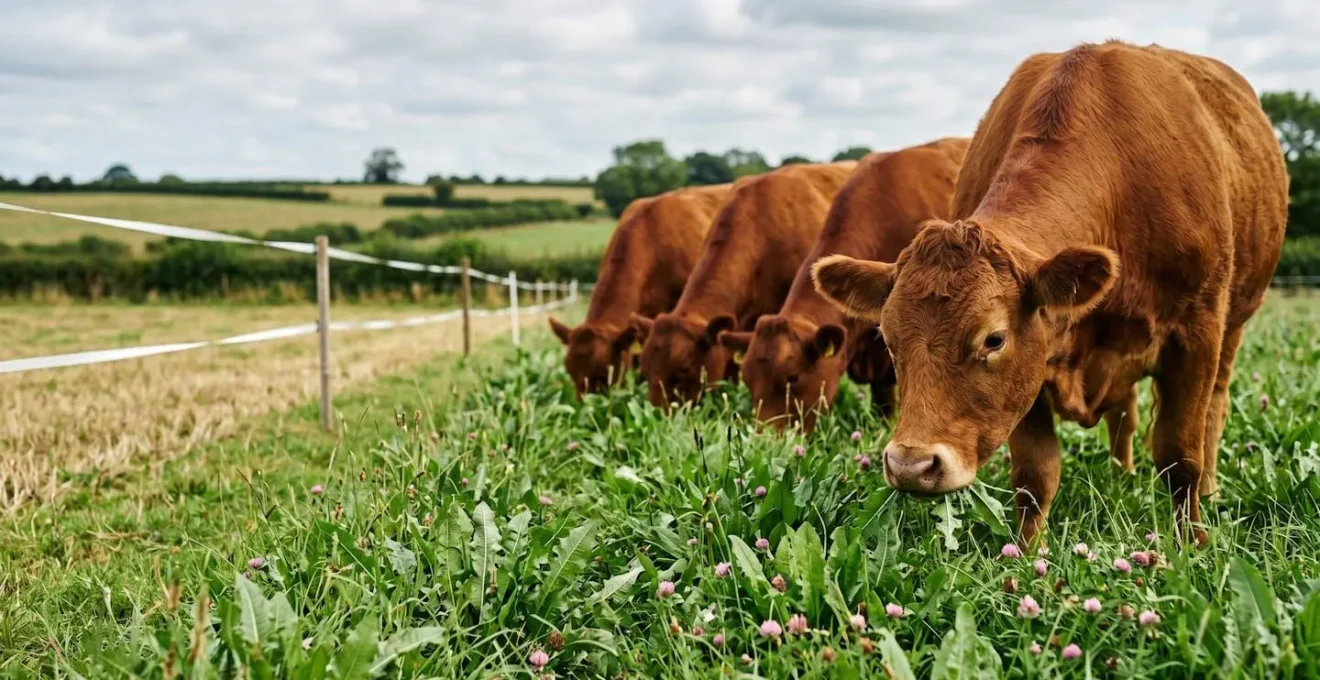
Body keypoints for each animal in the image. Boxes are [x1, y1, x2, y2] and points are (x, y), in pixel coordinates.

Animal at [812, 41, 1288, 546]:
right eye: (887, 339)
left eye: (993, 339)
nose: (910, 465)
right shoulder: (1034, 366)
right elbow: (1034, 474)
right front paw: (1024, 552)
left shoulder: (1196, 331)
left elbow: (1181, 456)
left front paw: (1189, 544)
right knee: (1124, 414)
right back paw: (1120, 474)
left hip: (1232, 326)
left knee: (1214, 409)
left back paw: (1209, 491)